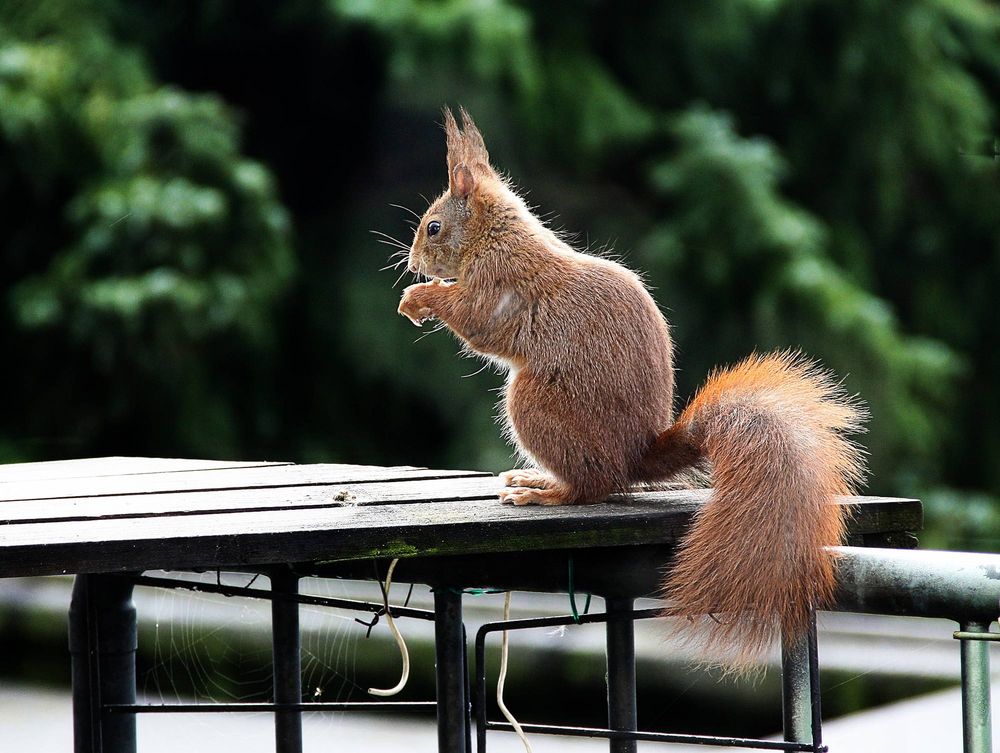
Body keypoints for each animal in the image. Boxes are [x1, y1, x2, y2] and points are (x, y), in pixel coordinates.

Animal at [398, 108, 868, 660]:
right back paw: (535, 480)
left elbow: (474, 319)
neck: (495, 235)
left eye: (433, 227)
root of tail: (636, 454)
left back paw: (544, 492)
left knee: (592, 488)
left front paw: (418, 299)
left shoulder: (498, 286)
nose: (412, 263)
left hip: (533, 405)